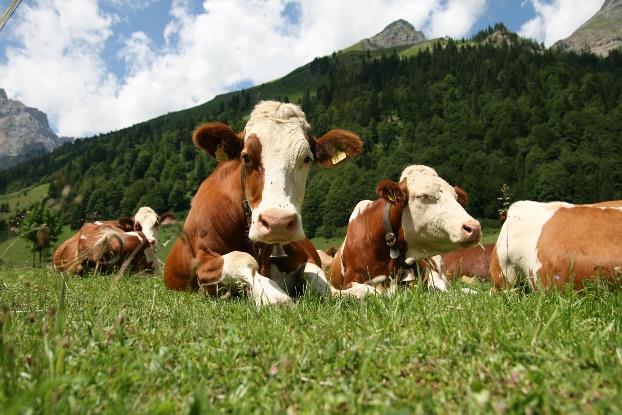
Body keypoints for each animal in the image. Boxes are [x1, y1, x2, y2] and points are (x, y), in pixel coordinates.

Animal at [162, 99, 376, 304]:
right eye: (246, 156)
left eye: (307, 158)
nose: (277, 223)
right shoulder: (203, 261)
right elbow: (243, 259)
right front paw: (272, 295)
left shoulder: (305, 258)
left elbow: (320, 281)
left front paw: (359, 291)